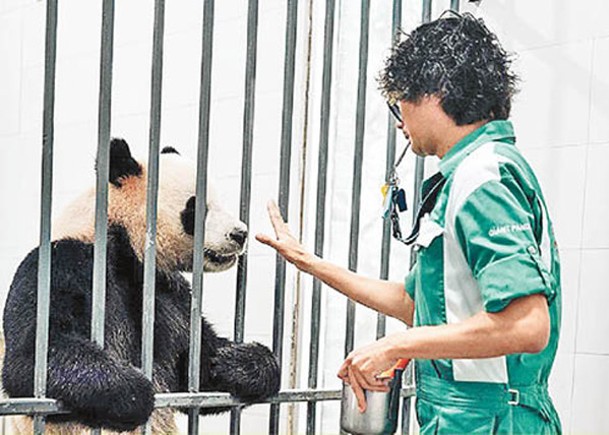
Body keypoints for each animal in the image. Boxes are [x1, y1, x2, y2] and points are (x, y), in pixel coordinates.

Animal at [2, 141, 280, 435]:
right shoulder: (64, 264)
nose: (240, 234)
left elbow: (197, 368)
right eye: (196, 208)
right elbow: (33, 354)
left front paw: (236, 361)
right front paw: (131, 393)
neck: (124, 243)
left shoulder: (167, 291)